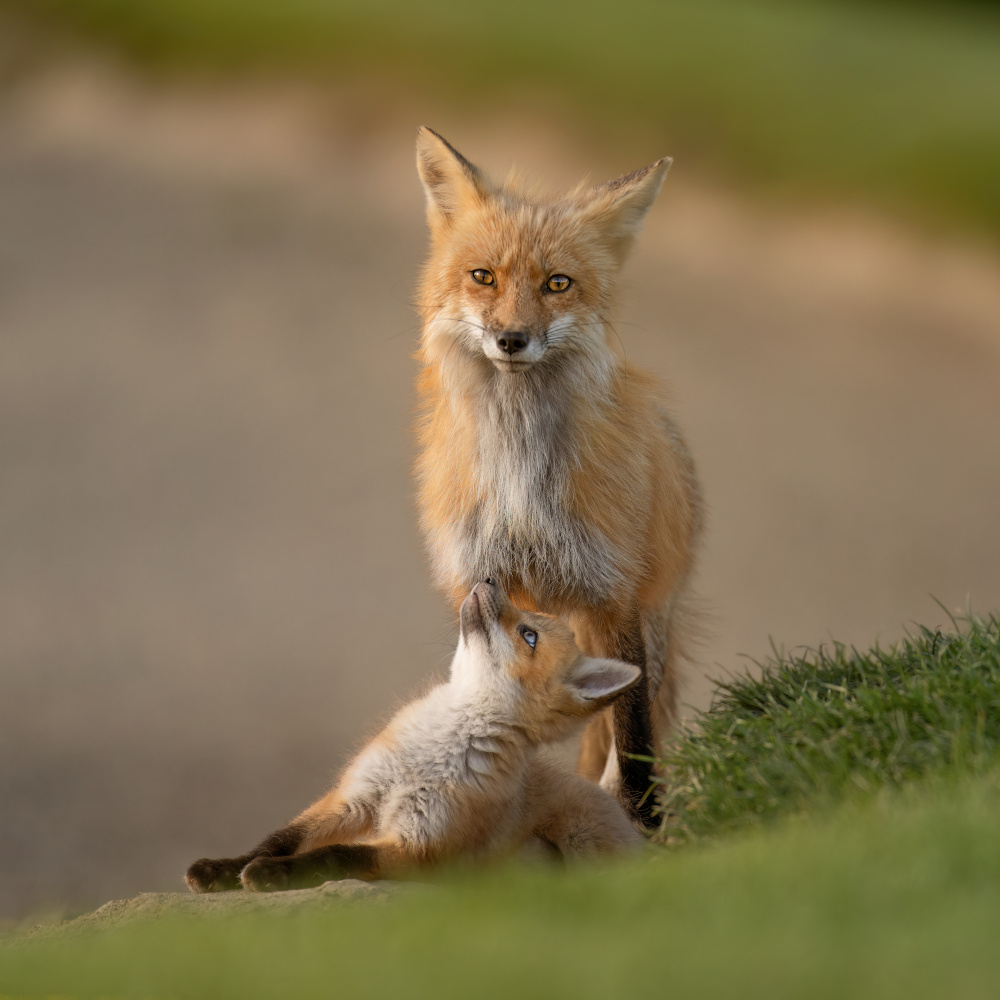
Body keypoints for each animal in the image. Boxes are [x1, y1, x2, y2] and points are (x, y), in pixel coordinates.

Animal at [187, 580, 640, 892]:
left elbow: (334, 856)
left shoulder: (418, 846)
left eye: (529, 635)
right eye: (526, 620)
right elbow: (279, 839)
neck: (430, 752)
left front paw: (272, 874)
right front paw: (221, 869)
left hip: (578, 844)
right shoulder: (354, 798)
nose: (490, 579)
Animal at [414, 129, 704, 824]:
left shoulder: (612, 592)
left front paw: (638, 819)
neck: (523, 480)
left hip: (651, 616)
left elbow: (632, 734)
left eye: (557, 283)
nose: (512, 338)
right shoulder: (482, 584)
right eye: (483, 276)